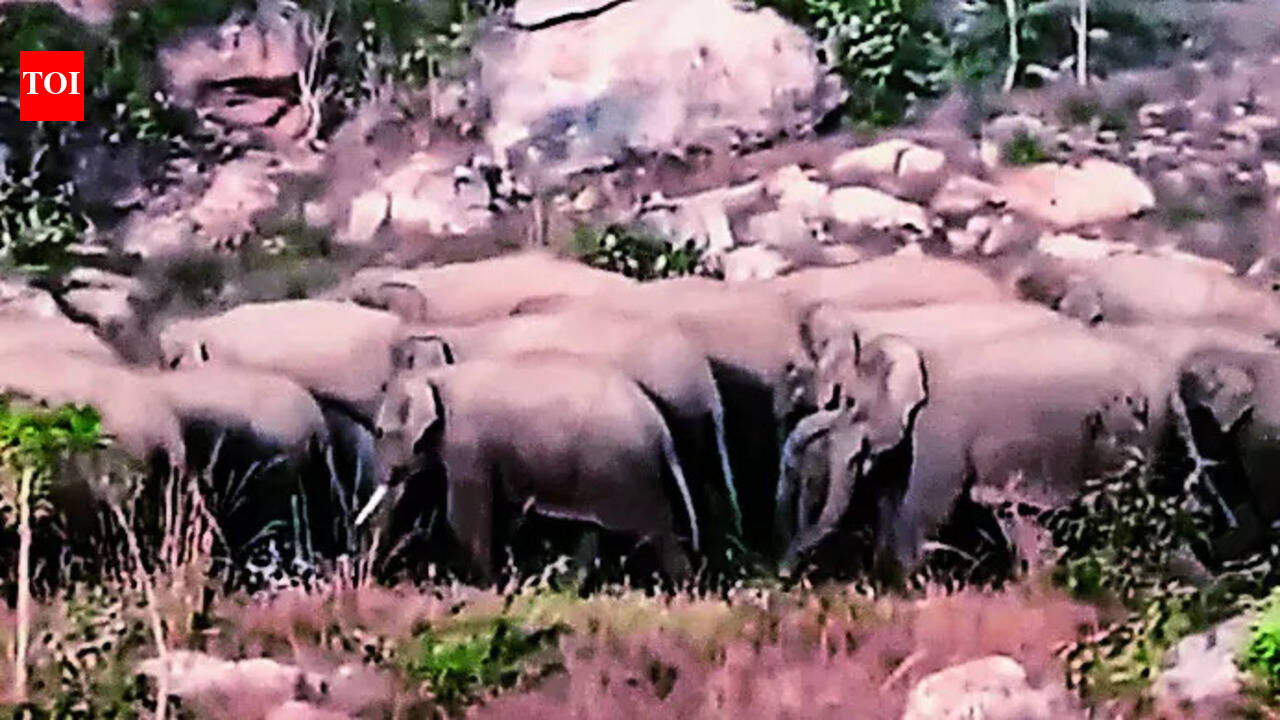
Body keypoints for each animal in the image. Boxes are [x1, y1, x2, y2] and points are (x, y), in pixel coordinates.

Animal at [368, 351, 700, 583]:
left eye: (379, 432)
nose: (373, 578)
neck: (434, 374)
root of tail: (660, 426)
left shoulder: (468, 445)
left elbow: (463, 516)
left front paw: (490, 585)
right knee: (594, 534)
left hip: (626, 473)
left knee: (658, 532)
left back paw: (684, 593)